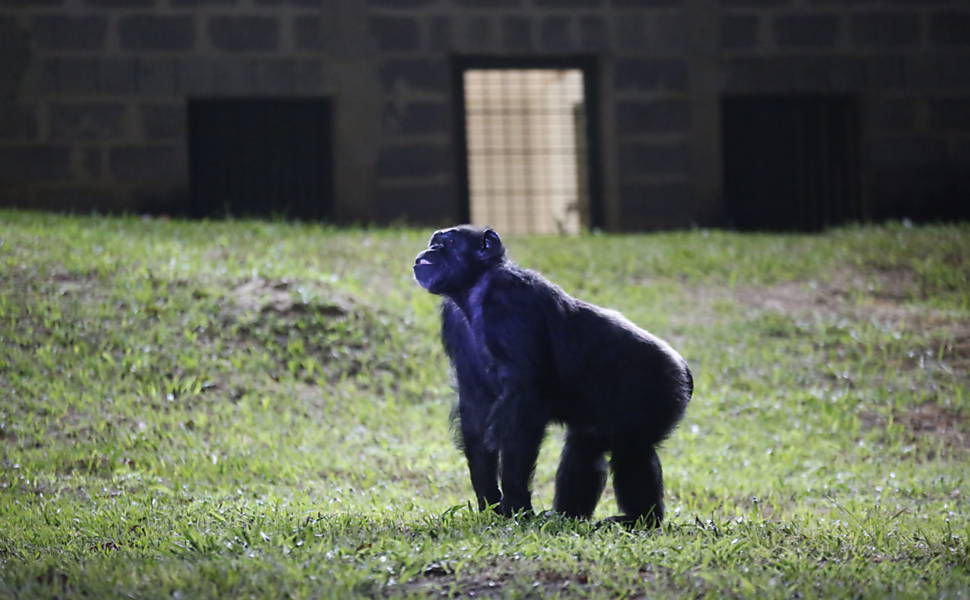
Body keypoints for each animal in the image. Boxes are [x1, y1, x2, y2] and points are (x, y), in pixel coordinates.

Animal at [412, 225, 692, 524]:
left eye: (450, 242)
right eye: (435, 240)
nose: (430, 250)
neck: (475, 289)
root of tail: (684, 370)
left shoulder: (510, 304)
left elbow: (522, 405)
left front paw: (516, 504)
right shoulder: (453, 322)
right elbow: (475, 409)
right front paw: (489, 502)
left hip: (662, 388)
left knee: (632, 450)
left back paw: (640, 519)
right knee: (585, 447)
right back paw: (568, 516)